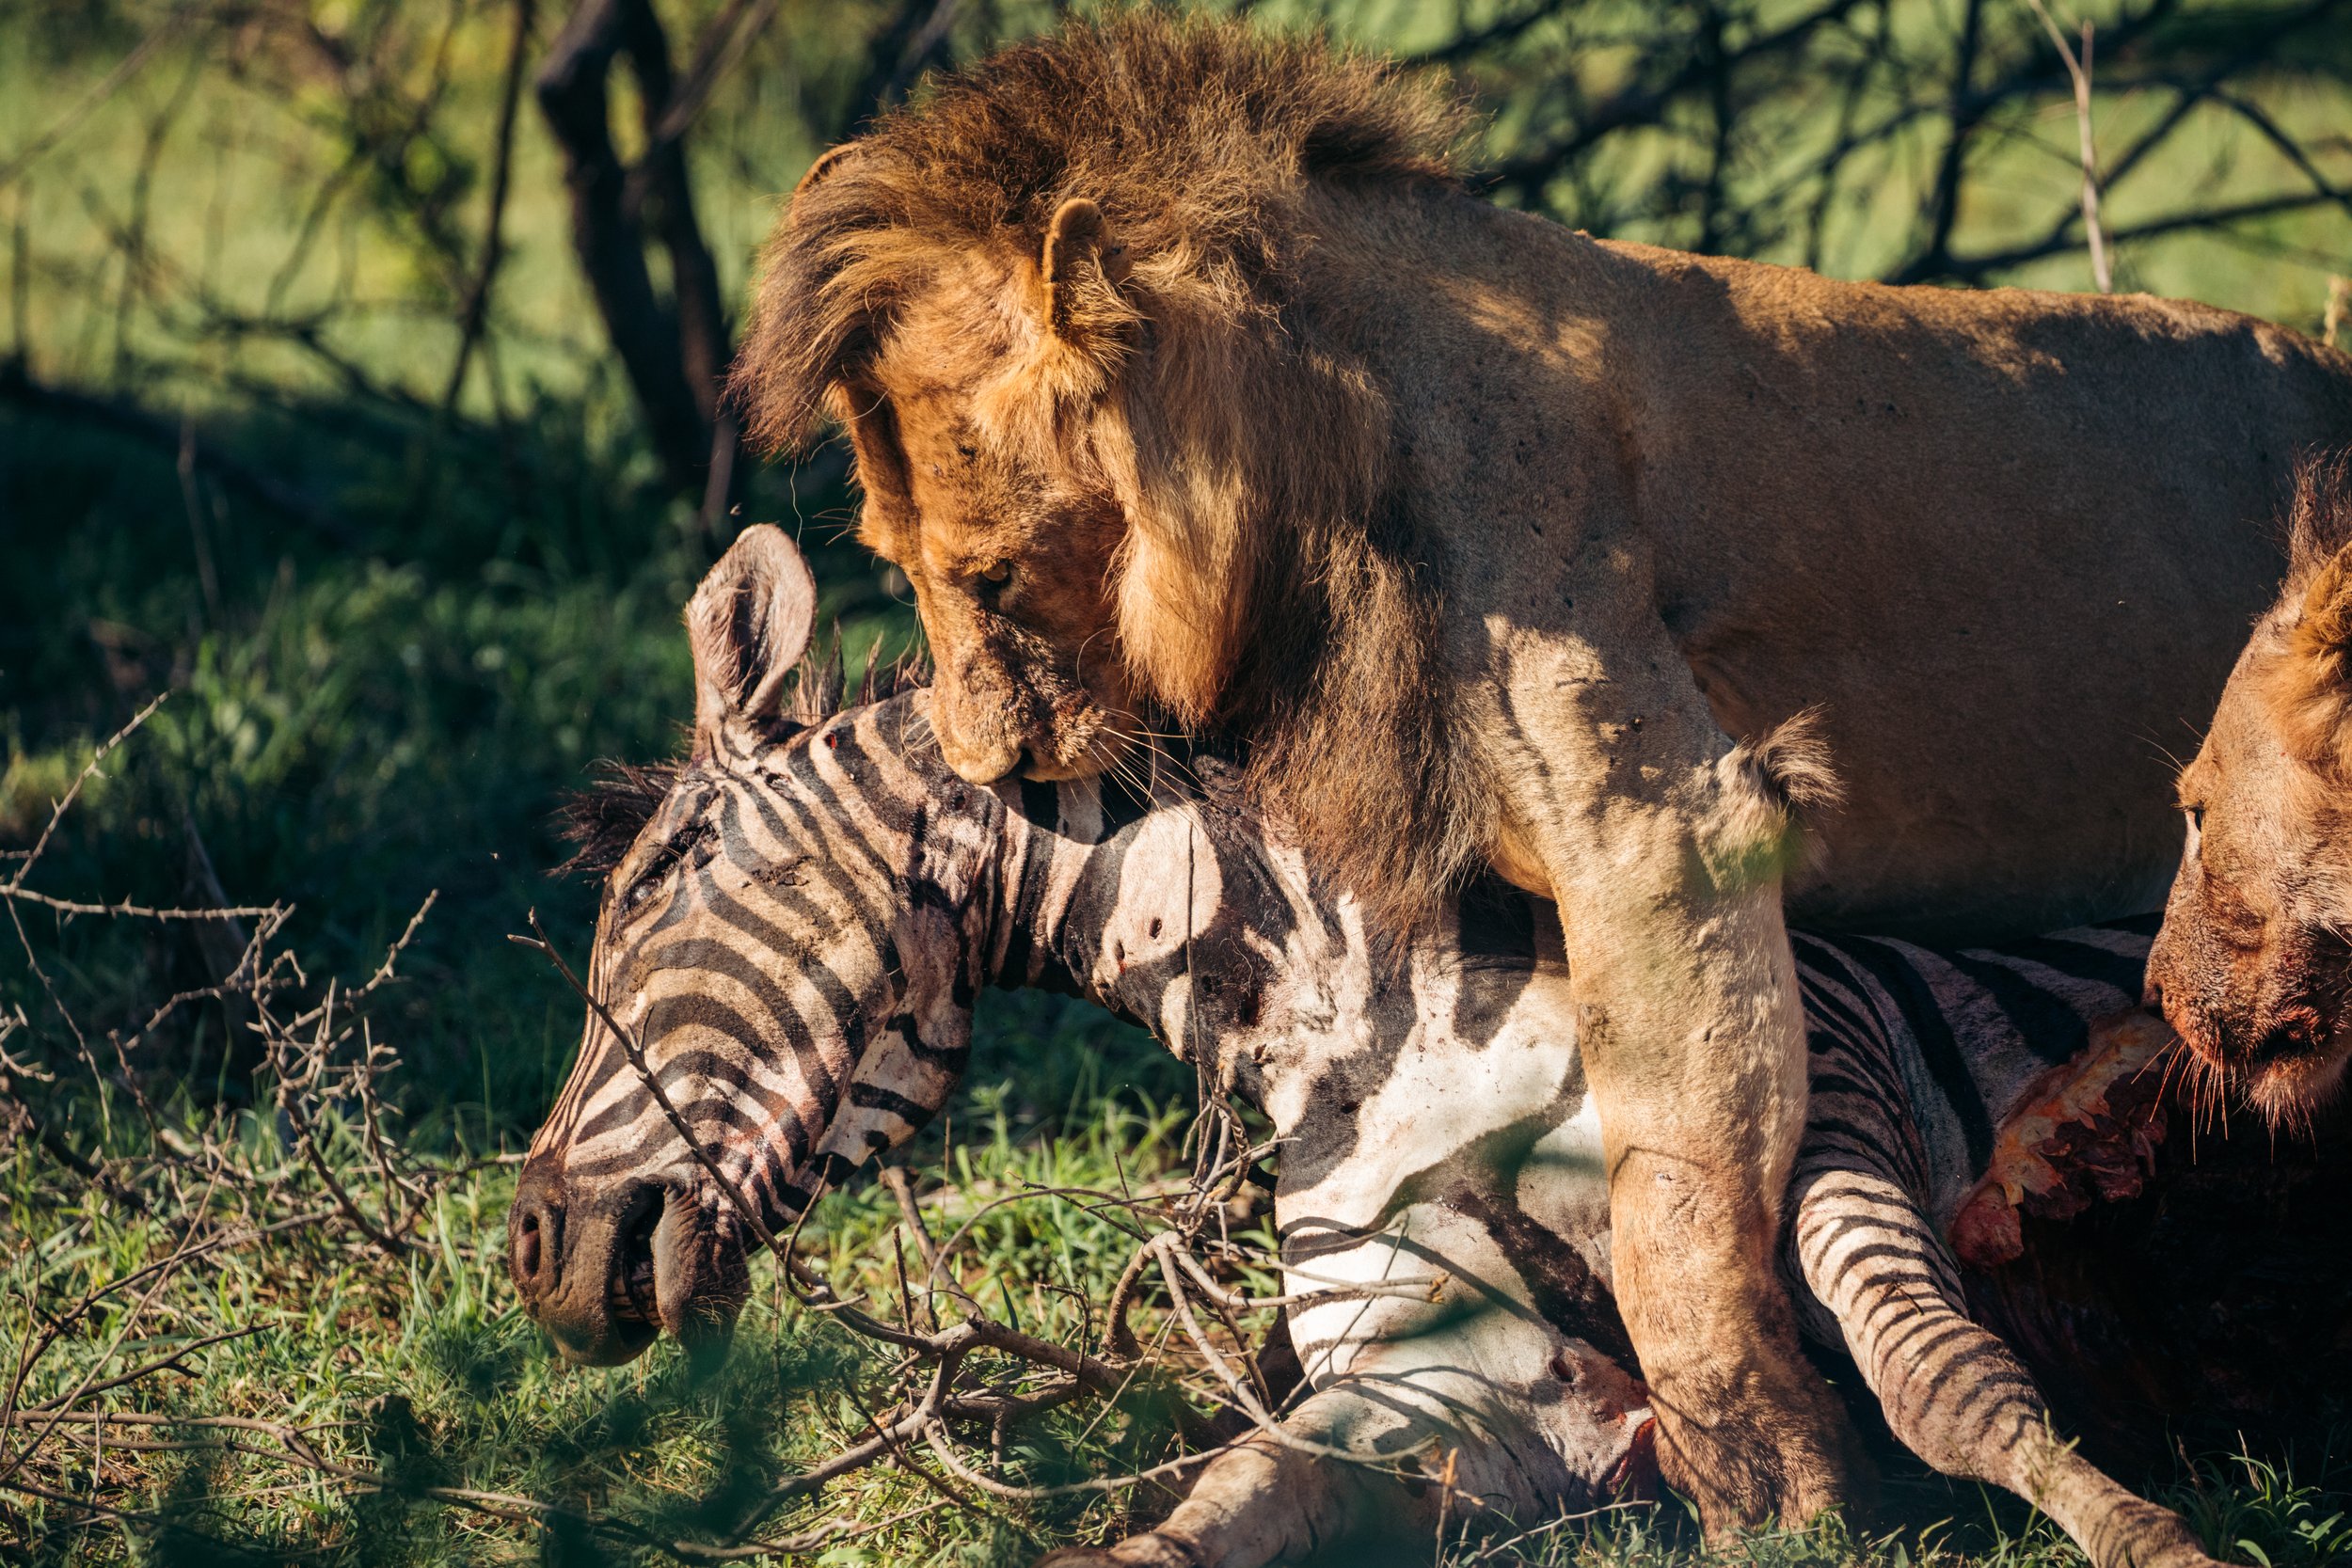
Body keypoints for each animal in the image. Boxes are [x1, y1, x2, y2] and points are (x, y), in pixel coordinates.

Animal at [724, 15, 2352, 1532]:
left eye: (991, 575)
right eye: (888, 562)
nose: (980, 763)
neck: (1319, 469)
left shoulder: (1672, 828)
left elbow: (1675, 1211)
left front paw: (1774, 1486)